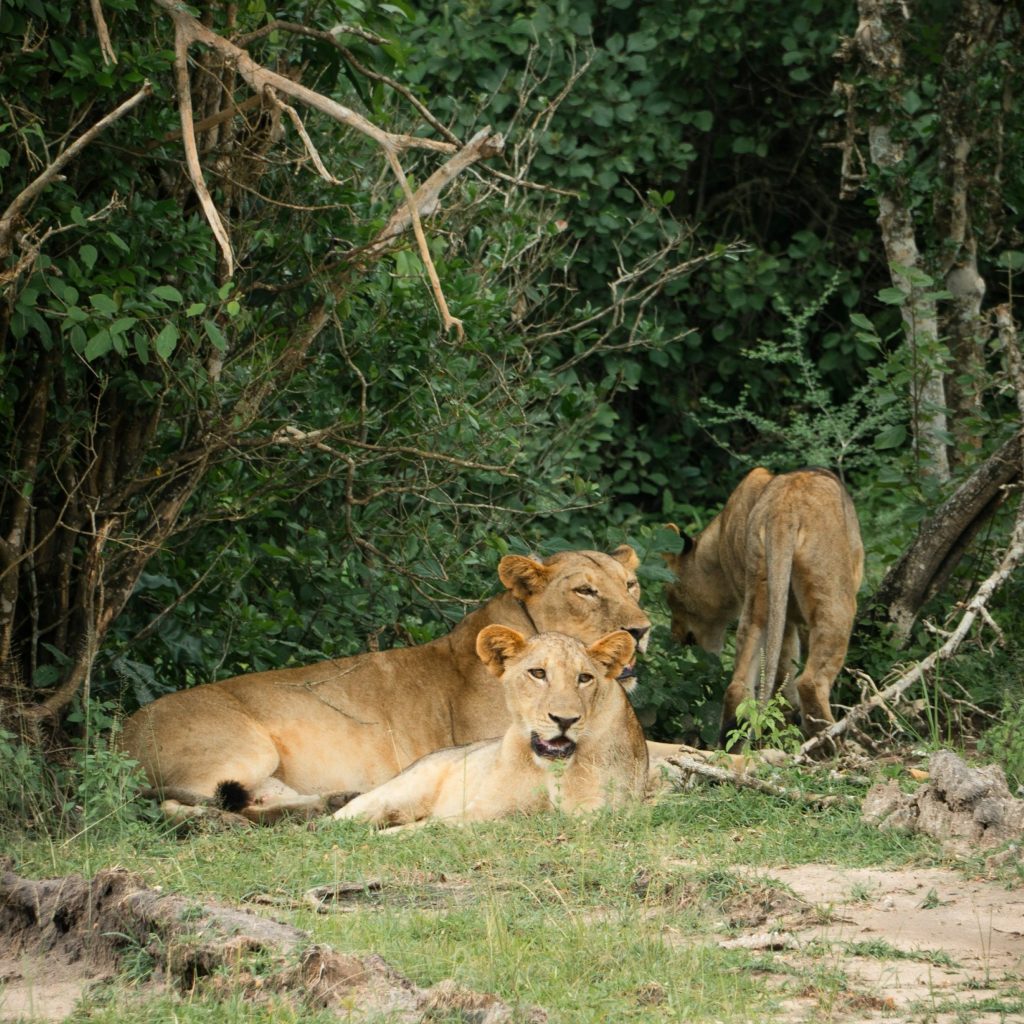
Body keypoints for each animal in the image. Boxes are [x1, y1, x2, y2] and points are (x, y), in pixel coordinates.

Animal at [334, 627, 647, 827]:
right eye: (538, 673)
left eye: (584, 678)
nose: (565, 720)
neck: (548, 770)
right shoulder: (484, 808)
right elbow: (436, 826)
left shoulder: (600, 809)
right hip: (397, 793)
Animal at [663, 467, 863, 749]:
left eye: (672, 598)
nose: (675, 635)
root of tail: (783, 511)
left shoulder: (781, 615)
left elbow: (782, 674)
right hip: (835, 596)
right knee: (810, 681)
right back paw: (833, 745)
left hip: (759, 599)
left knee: (738, 688)